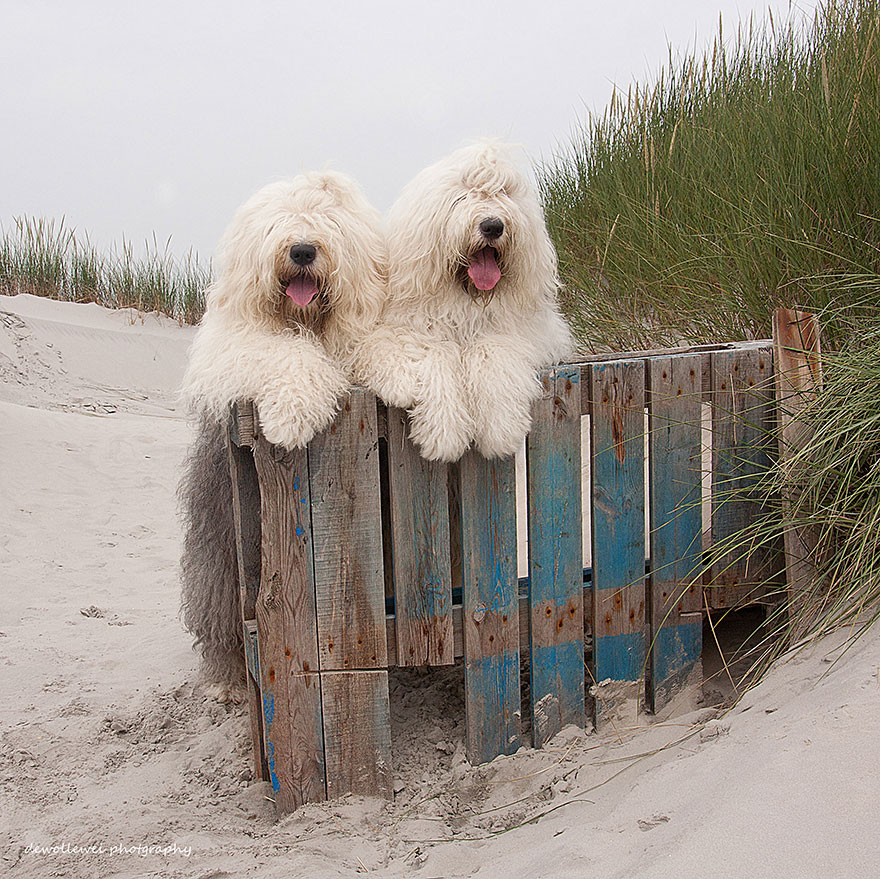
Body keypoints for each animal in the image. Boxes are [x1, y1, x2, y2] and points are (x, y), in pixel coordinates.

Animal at [180, 170, 384, 696]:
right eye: (275, 225)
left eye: (328, 223)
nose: (303, 250)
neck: (307, 323)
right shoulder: (239, 349)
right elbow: (279, 352)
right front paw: (291, 417)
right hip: (220, 551)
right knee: (220, 615)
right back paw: (229, 678)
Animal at [354, 139, 576, 460]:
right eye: (461, 198)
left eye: (504, 194)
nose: (493, 225)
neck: (465, 299)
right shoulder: (405, 331)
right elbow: (436, 354)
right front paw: (443, 434)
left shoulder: (527, 335)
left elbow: (491, 351)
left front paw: (501, 431)